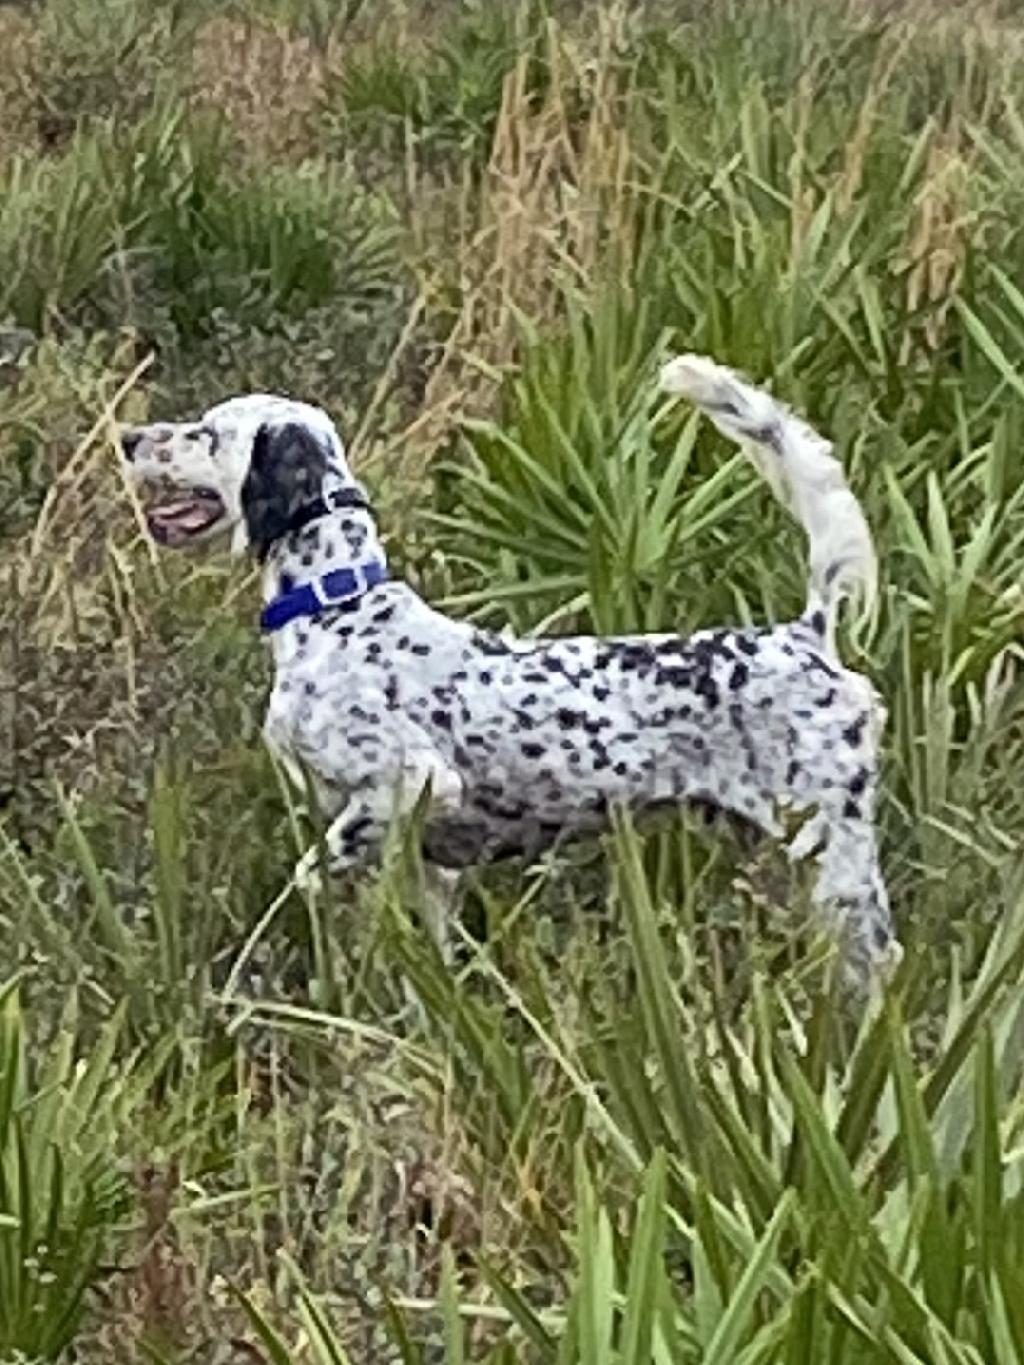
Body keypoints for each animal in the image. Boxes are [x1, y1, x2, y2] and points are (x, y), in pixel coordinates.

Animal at [120, 357, 901, 988]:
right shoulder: (430, 864)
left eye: (206, 432)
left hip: (835, 862)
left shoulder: (407, 784)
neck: (337, 606)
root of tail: (807, 634)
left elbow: (310, 874)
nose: (127, 437)